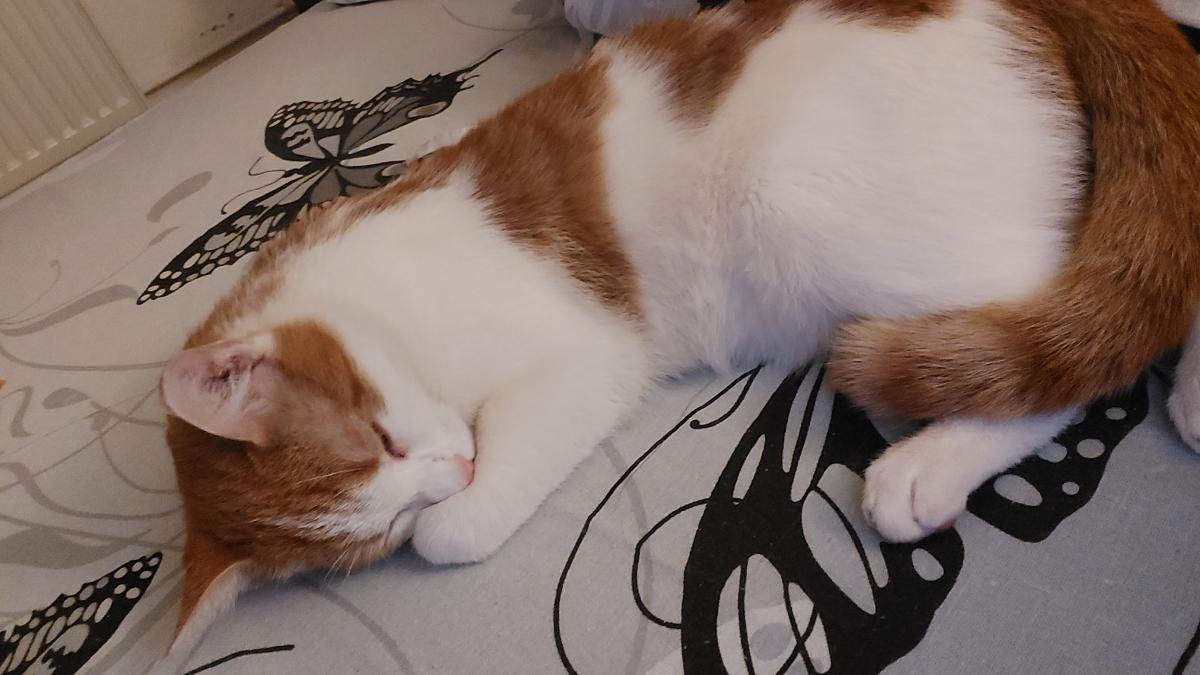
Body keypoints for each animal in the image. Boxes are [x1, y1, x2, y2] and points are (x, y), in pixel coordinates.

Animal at [157, 0, 1200, 655]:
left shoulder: (584, 355)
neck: (371, 294)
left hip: (811, 203)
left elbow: (459, 534)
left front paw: (464, 505)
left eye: (383, 435)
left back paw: (937, 462)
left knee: (1095, 340)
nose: (454, 466)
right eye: (380, 520)